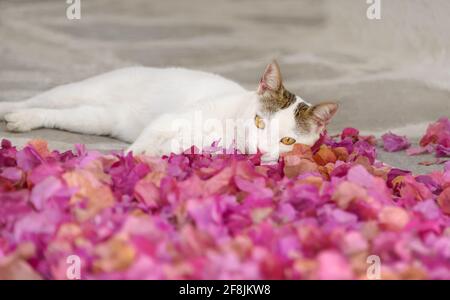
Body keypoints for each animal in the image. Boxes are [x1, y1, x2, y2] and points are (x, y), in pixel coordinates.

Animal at [0, 60, 338, 162]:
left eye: (288, 142)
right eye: (258, 122)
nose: (258, 150)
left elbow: (172, 148)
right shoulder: (168, 121)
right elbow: (148, 139)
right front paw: (126, 161)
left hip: (95, 120)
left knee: (58, 114)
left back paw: (23, 119)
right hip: (83, 91)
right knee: (41, 99)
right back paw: (11, 109)